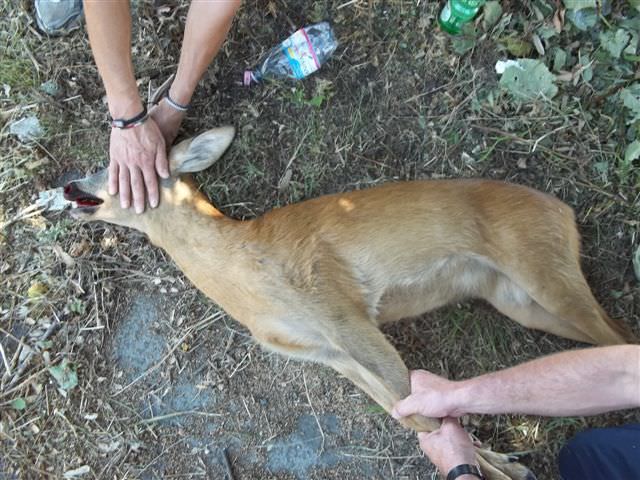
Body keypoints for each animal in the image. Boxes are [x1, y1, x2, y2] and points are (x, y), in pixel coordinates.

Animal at [62, 127, 632, 480]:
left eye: (114, 170)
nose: (68, 185)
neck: (243, 267)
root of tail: (565, 211)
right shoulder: (327, 350)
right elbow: (411, 416)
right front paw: (500, 462)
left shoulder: (341, 308)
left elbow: (421, 411)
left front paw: (502, 467)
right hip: (521, 300)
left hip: (542, 268)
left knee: (623, 339)